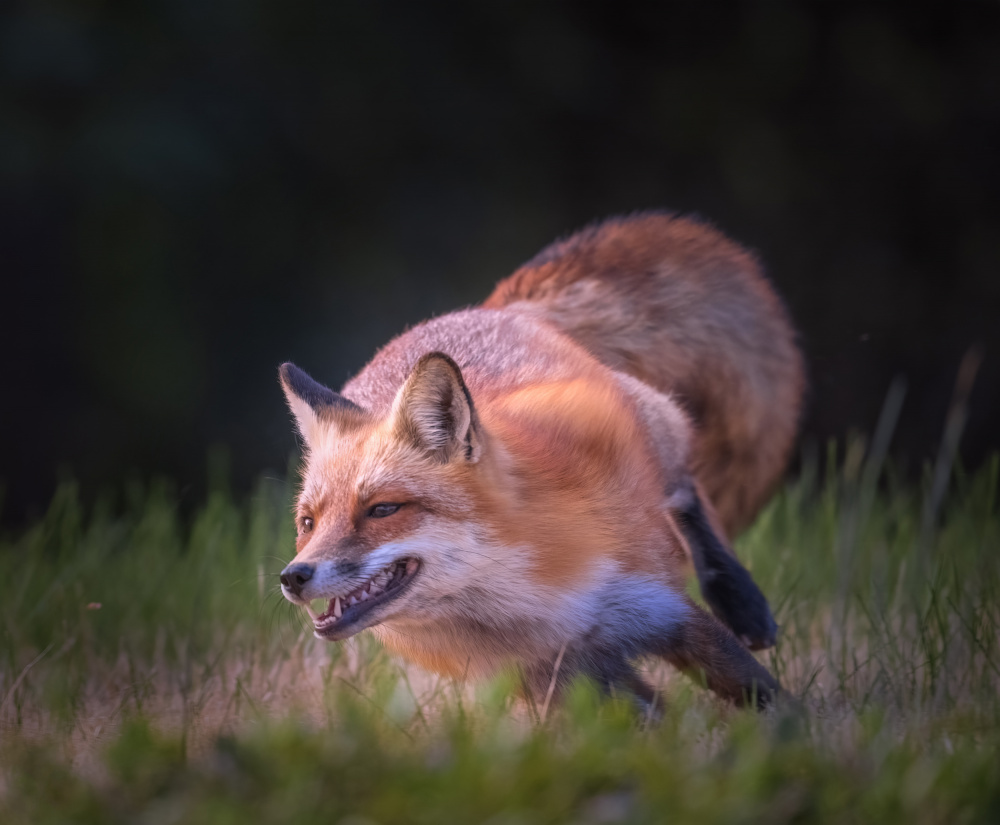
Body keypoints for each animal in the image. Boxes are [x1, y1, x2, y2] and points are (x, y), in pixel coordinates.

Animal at [278, 211, 805, 710]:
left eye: (383, 510)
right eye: (307, 523)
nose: (293, 577)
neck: (528, 608)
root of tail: (481, 309)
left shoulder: (661, 608)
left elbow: (763, 697)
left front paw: (804, 734)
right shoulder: (560, 679)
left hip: (656, 424)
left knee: (684, 492)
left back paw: (743, 603)